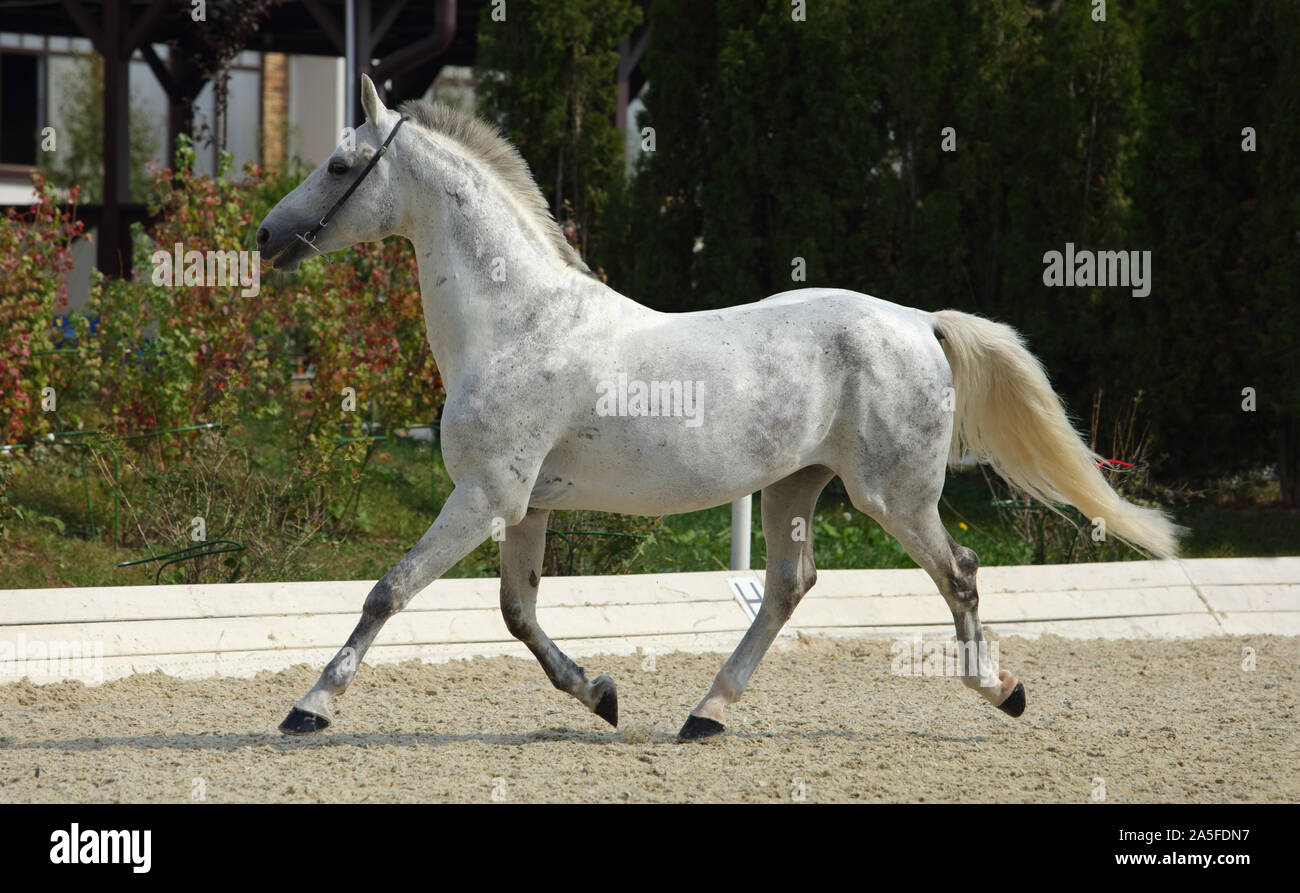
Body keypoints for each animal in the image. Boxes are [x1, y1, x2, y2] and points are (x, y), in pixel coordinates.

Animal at [256, 76, 1180, 743]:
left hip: (895, 496)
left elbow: (389, 591)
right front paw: (600, 694)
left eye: (340, 165)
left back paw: (1004, 690)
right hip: (795, 486)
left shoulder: (482, 497)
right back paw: (706, 714)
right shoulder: (522, 505)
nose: (266, 237)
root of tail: (921, 322)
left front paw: (311, 707)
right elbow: (519, 615)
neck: (519, 323)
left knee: (959, 570)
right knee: (788, 588)